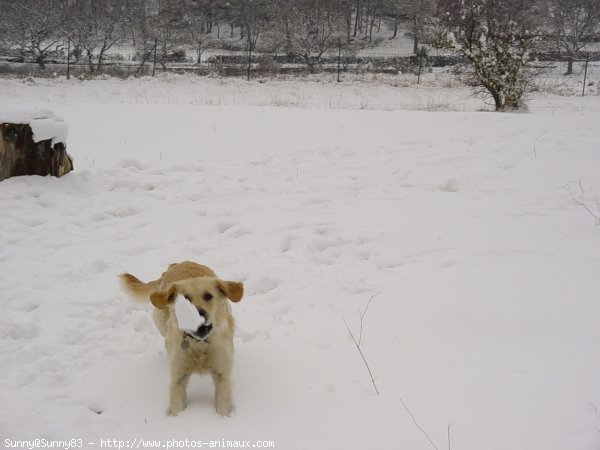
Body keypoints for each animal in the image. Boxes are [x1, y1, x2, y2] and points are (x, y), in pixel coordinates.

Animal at [119, 262, 244, 416]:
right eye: (185, 299)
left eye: (208, 296)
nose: (198, 313)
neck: (199, 344)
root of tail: (177, 264)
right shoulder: (178, 378)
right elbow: (177, 406)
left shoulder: (222, 375)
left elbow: (223, 407)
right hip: (160, 322)